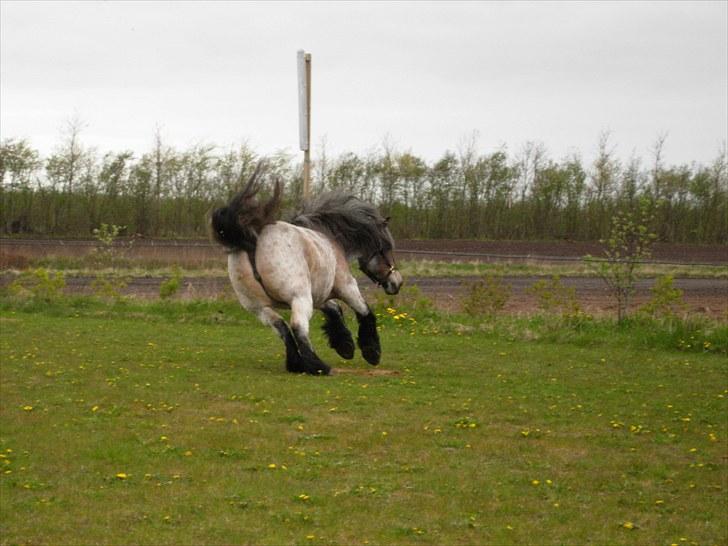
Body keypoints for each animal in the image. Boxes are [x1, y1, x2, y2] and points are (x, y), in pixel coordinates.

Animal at [209, 167, 404, 374]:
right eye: (385, 248)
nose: (397, 282)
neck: (329, 238)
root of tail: (251, 242)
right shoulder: (346, 287)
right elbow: (365, 311)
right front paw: (371, 351)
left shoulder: (319, 295)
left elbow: (335, 310)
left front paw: (345, 346)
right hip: (299, 299)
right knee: (297, 328)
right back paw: (318, 367)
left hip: (260, 308)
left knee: (283, 328)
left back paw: (296, 364)